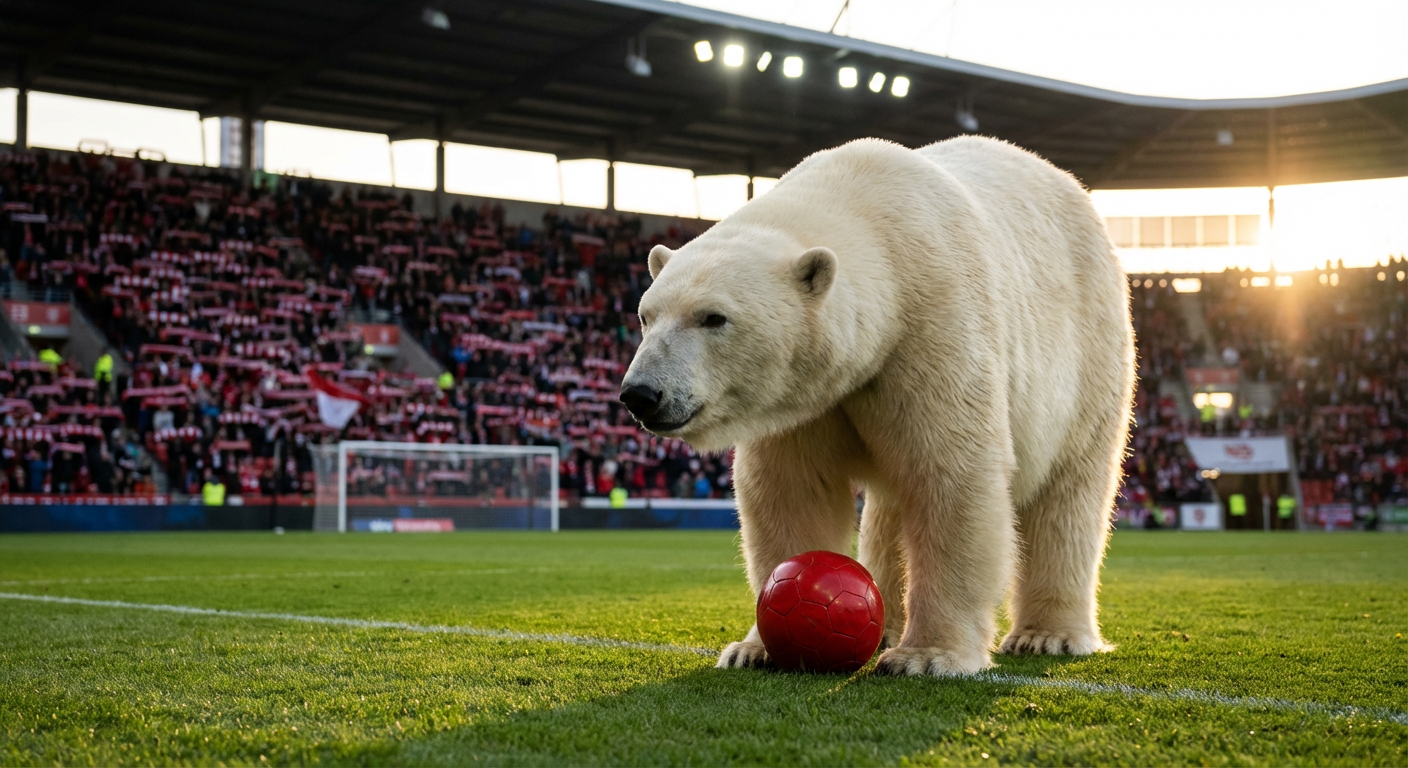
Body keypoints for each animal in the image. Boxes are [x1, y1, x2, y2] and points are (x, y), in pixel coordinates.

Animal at [618, 135, 1134, 676]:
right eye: (645, 314)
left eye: (713, 317)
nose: (641, 394)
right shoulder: (803, 399)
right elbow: (791, 490)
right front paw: (754, 648)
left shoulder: (933, 326)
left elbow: (953, 476)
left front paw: (926, 656)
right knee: (891, 510)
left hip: (1090, 358)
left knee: (1069, 496)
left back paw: (1047, 635)